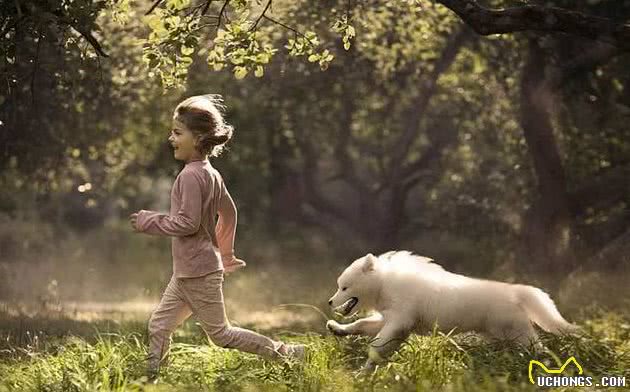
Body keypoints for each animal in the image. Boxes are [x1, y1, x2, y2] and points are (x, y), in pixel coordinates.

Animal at [328, 253, 580, 370]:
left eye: (344, 287)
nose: (330, 302)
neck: (384, 284)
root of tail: (515, 291)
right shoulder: (392, 320)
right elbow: (361, 326)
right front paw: (337, 329)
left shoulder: (399, 320)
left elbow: (377, 346)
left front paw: (364, 371)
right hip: (500, 336)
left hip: (517, 333)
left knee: (539, 349)